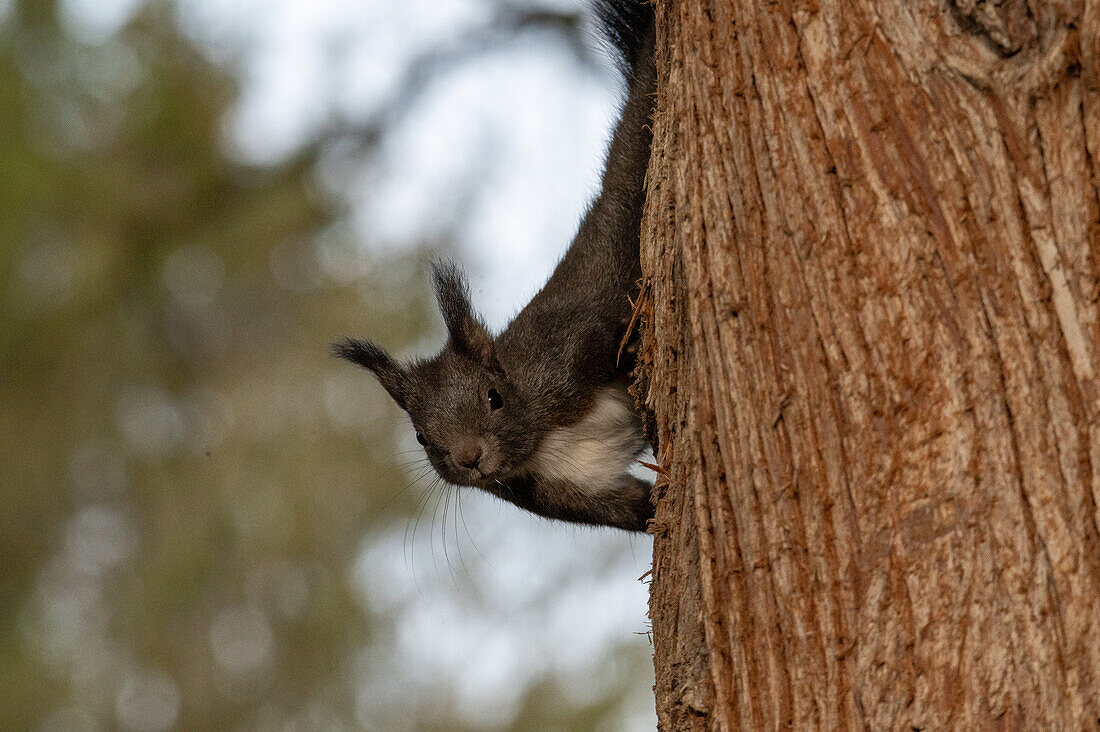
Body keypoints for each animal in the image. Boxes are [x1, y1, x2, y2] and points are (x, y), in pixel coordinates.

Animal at [334, 2, 655, 534]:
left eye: (493, 397)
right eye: (421, 438)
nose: (469, 457)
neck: (543, 436)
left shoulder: (569, 348)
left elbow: (612, 339)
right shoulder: (550, 488)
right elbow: (627, 507)